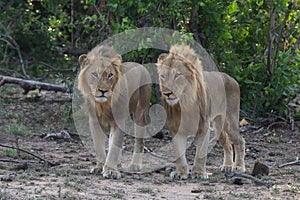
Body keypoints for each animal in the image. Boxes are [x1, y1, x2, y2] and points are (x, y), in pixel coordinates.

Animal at [78, 45, 151, 178]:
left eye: (110, 75)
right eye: (95, 74)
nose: (103, 91)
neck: (104, 104)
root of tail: (141, 65)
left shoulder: (119, 120)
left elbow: (114, 146)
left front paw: (111, 170)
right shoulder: (94, 121)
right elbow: (99, 146)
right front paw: (99, 167)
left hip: (140, 111)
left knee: (139, 141)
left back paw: (135, 165)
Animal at [156, 44, 245, 179]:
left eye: (177, 75)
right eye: (163, 76)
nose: (167, 93)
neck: (185, 102)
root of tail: (231, 78)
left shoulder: (203, 125)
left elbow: (201, 152)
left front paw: (198, 173)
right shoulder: (176, 127)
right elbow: (179, 152)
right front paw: (180, 172)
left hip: (230, 122)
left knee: (240, 141)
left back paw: (239, 167)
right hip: (218, 125)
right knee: (228, 144)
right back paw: (227, 166)